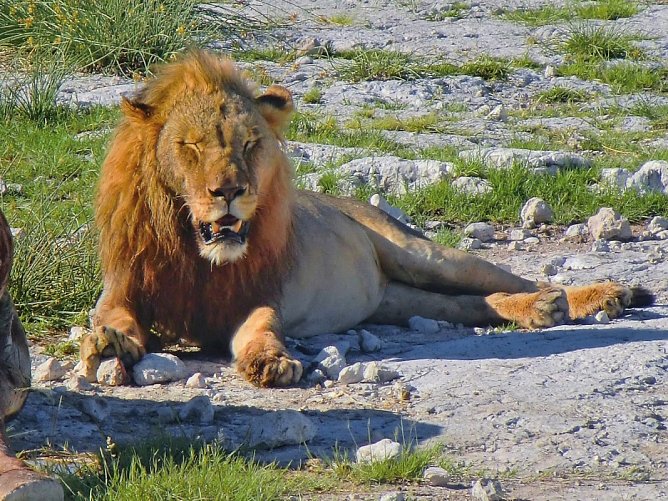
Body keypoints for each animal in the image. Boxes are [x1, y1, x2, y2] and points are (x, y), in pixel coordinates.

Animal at [79, 51, 653, 387]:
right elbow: (112, 318)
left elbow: (262, 329)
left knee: (509, 279)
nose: (230, 192)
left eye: (250, 144)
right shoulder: (124, 287)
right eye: (192, 147)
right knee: (472, 304)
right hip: (394, 300)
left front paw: (271, 362)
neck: (198, 254)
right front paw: (109, 345)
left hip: (422, 254)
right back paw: (541, 310)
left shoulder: (255, 295)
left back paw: (593, 296)